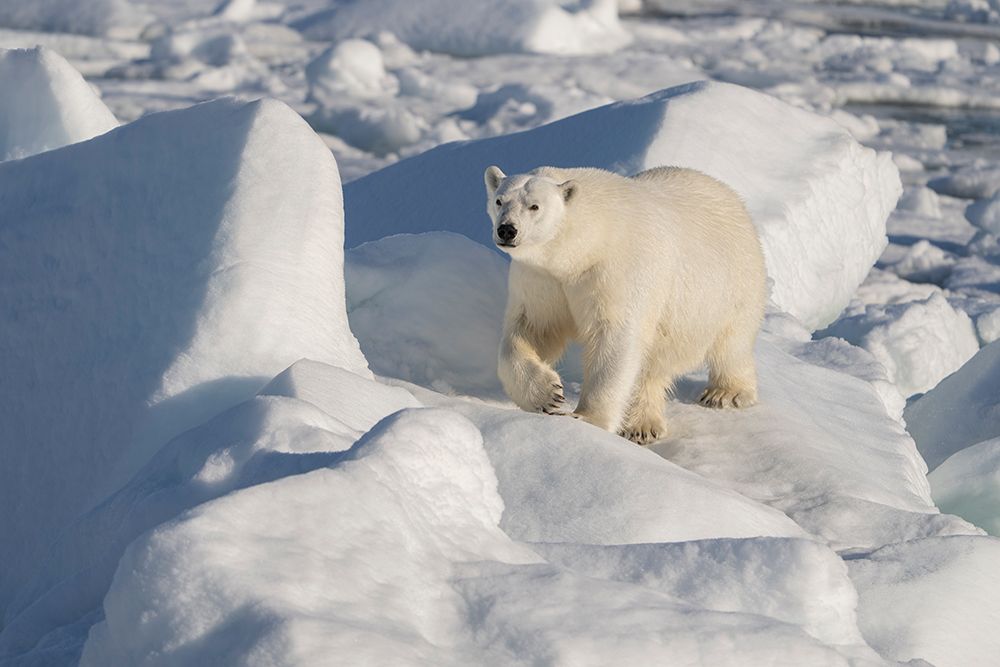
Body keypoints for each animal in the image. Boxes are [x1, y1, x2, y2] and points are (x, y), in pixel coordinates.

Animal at [485, 164, 767, 444]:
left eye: (535, 206)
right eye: (499, 201)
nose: (507, 230)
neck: (589, 242)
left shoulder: (618, 272)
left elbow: (614, 340)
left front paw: (587, 419)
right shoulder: (543, 279)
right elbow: (532, 330)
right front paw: (548, 394)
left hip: (732, 286)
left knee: (731, 343)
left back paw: (725, 393)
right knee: (652, 366)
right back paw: (641, 426)